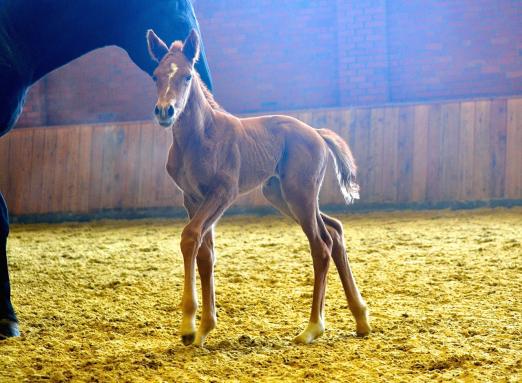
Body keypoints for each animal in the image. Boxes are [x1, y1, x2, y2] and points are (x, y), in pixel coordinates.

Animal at [144, 29, 368, 348]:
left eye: (187, 76)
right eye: (156, 75)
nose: (165, 111)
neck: (201, 137)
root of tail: (317, 133)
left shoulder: (223, 193)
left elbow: (190, 238)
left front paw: (188, 326)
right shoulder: (192, 198)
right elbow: (205, 253)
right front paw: (204, 328)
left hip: (299, 194)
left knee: (321, 245)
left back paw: (312, 328)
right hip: (281, 195)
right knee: (335, 230)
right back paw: (361, 318)